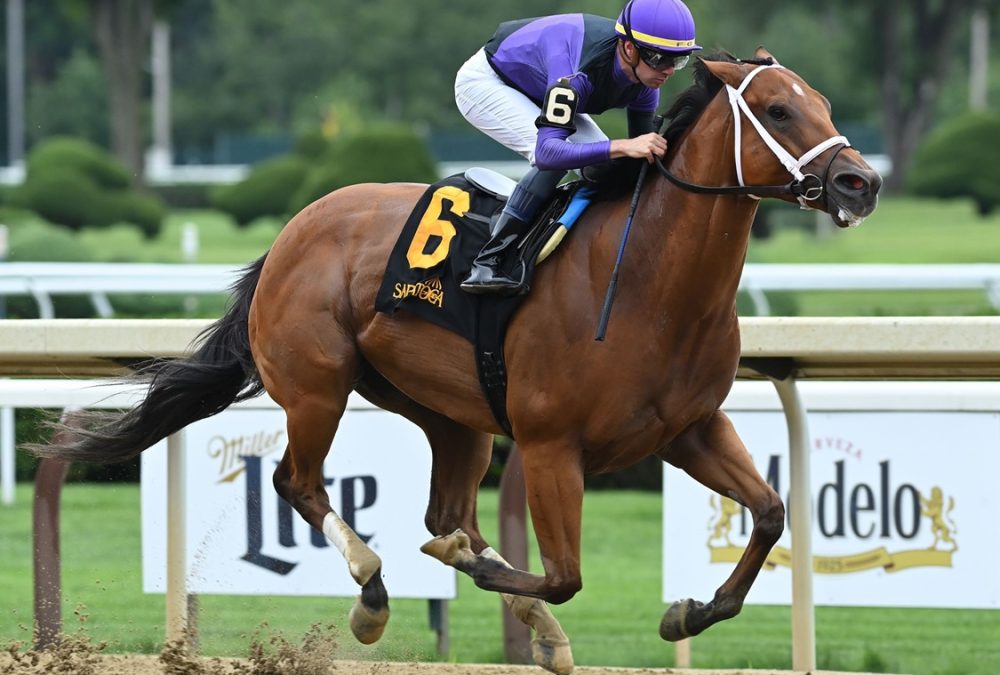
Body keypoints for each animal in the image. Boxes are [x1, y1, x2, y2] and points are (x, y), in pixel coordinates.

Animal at [37, 48, 884, 675]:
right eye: (778, 110)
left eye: (823, 103)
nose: (861, 180)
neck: (648, 283)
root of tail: (291, 232)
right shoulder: (550, 444)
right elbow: (566, 572)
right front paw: (480, 576)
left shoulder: (689, 429)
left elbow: (770, 513)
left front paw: (688, 611)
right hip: (317, 387)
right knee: (297, 482)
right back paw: (373, 593)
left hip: (453, 413)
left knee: (446, 510)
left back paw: (507, 604)